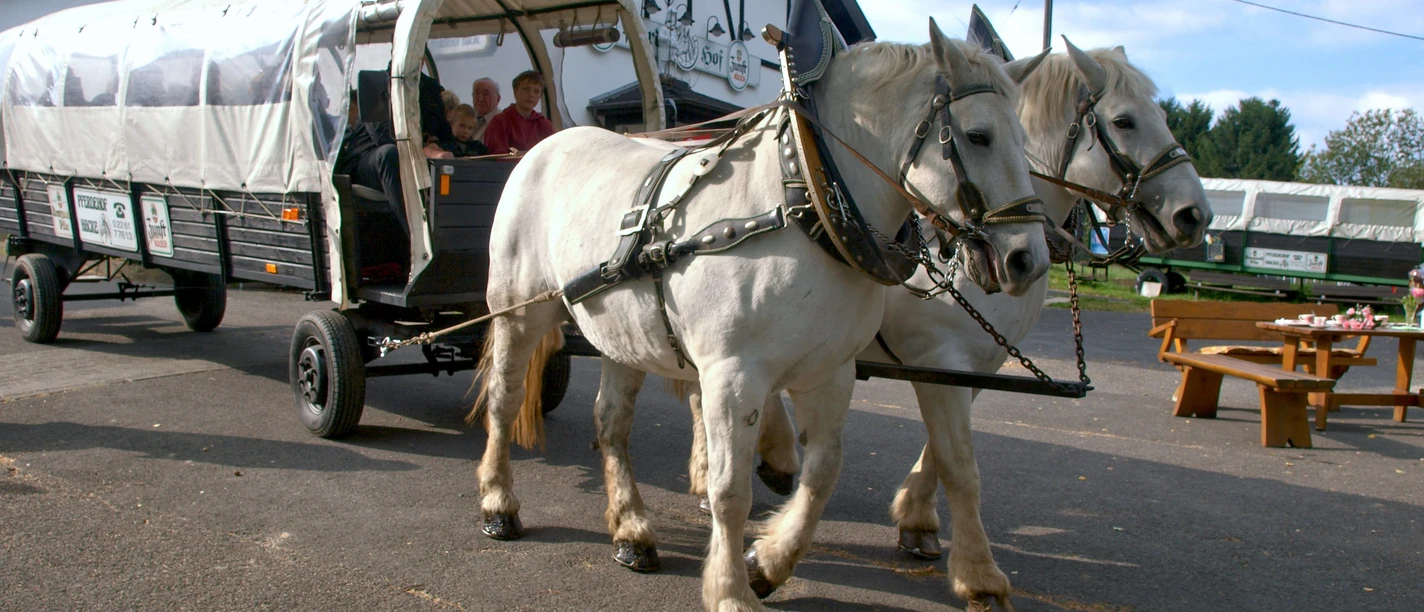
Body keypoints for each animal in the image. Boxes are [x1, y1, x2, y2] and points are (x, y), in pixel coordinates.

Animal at [473, 19, 1052, 610]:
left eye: (1025, 143)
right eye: (978, 136)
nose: (1027, 259)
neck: (805, 200)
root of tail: (545, 146)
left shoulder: (831, 372)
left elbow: (824, 472)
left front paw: (769, 563)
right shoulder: (733, 376)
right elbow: (731, 491)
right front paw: (731, 590)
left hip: (622, 335)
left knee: (611, 424)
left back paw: (631, 530)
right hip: (521, 314)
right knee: (504, 400)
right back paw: (499, 503)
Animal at [682, 39, 1214, 610]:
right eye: (1124, 121)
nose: (1194, 215)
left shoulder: (971, 366)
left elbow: (942, 452)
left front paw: (917, 520)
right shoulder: (940, 361)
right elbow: (961, 465)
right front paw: (979, 574)